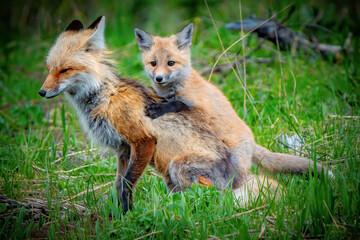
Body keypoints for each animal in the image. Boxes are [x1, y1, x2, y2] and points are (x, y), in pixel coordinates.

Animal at [38, 16, 250, 213]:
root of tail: (237, 174)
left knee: (215, 193)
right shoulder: (123, 149)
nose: (41, 92)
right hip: (171, 179)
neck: (105, 97)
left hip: (177, 167)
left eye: (65, 70)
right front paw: (118, 215)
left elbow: (126, 184)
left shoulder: (143, 140)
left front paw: (127, 213)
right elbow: (118, 184)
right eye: (49, 69)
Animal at [134, 24, 332, 177]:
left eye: (171, 63)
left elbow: (177, 104)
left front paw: (159, 108)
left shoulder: (202, 112)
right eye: (153, 63)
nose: (159, 78)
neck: (178, 87)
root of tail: (251, 140)